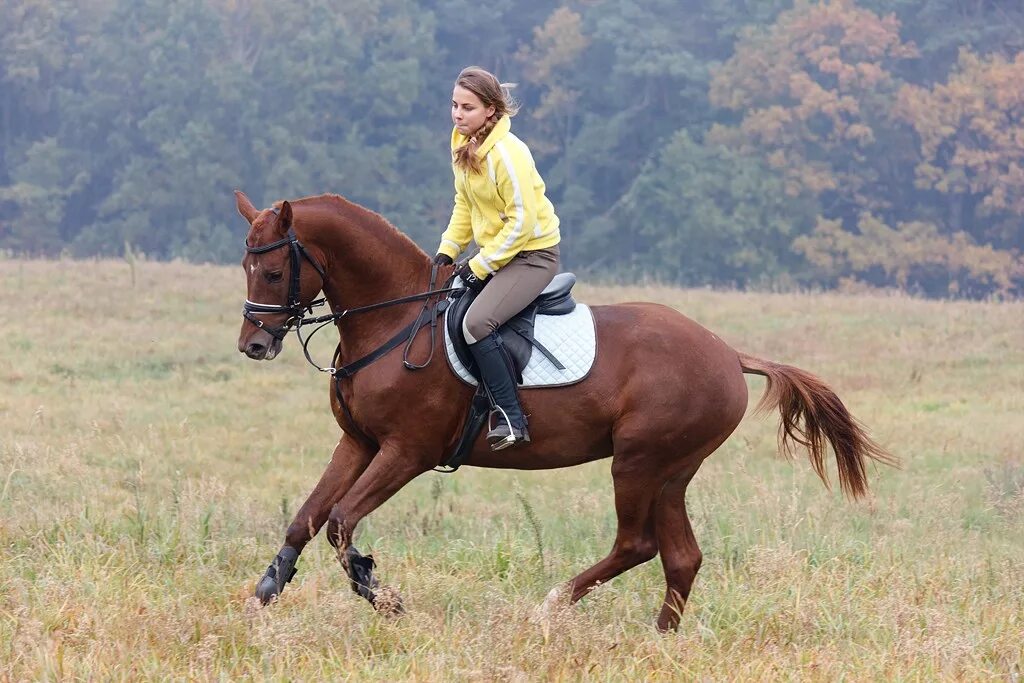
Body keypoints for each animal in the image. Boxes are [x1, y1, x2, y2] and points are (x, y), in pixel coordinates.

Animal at [235, 188, 892, 630]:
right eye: (245, 266)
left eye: (273, 269)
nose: (254, 346)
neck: (394, 319)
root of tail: (728, 353)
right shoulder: (360, 443)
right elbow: (306, 519)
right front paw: (264, 593)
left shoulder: (407, 452)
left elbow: (341, 522)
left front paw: (381, 593)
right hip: (672, 472)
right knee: (681, 556)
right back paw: (659, 639)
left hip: (639, 462)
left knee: (638, 545)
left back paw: (552, 605)